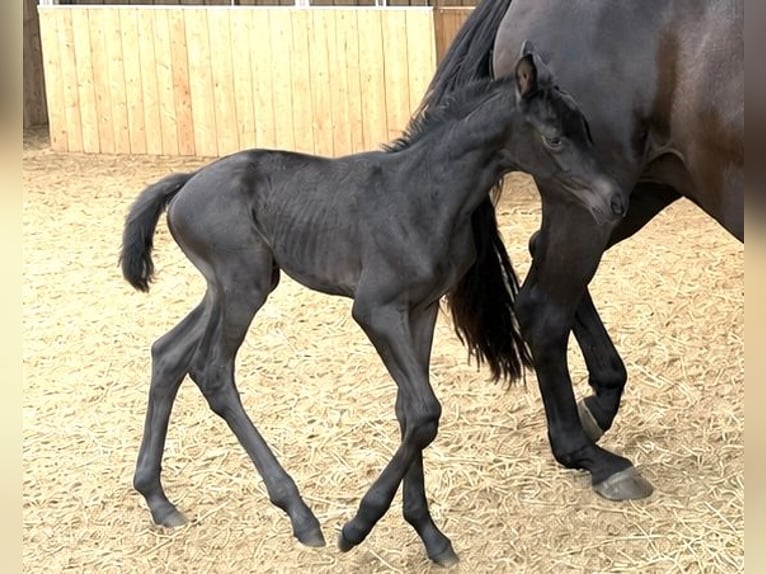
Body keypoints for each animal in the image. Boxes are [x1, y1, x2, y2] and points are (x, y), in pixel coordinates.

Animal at [120, 45, 625, 566]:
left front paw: (429, 534)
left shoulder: (421, 308)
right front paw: (358, 526)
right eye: (554, 139)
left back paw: (158, 499)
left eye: (587, 129)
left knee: (168, 353)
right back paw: (300, 514)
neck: (425, 195)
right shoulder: (375, 309)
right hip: (244, 284)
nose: (616, 201)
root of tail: (186, 182)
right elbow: (424, 410)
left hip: (227, 286)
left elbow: (411, 412)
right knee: (213, 370)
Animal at [419, 0, 743, 501]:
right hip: (593, 199)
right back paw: (592, 457)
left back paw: (602, 400)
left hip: (630, 196)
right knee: (543, 307)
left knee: (546, 264)